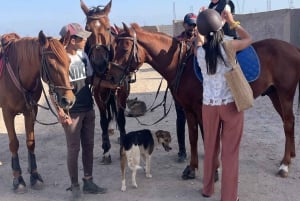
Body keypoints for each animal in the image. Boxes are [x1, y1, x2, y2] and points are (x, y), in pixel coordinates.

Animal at [0, 31, 75, 192]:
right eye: (51, 64)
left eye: (69, 61)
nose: (69, 100)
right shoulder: (7, 113)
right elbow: (14, 143)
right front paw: (18, 178)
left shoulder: (30, 110)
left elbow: (30, 142)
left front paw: (34, 175)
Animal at [80, 0, 131, 163]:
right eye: (87, 29)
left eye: (108, 28)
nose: (99, 63)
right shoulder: (98, 92)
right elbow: (103, 120)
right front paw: (106, 150)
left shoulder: (122, 91)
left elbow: (121, 118)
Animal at [110, 23, 300, 179]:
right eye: (114, 47)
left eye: (125, 49)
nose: (112, 77)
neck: (181, 65)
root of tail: (293, 48)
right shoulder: (189, 110)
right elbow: (193, 137)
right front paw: (192, 168)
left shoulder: (202, 109)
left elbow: (207, 137)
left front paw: (213, 171)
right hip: (275, 95)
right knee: (288, 122)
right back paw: (290, 156)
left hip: (285, 94)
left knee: (288, 123)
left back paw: (285, 165)